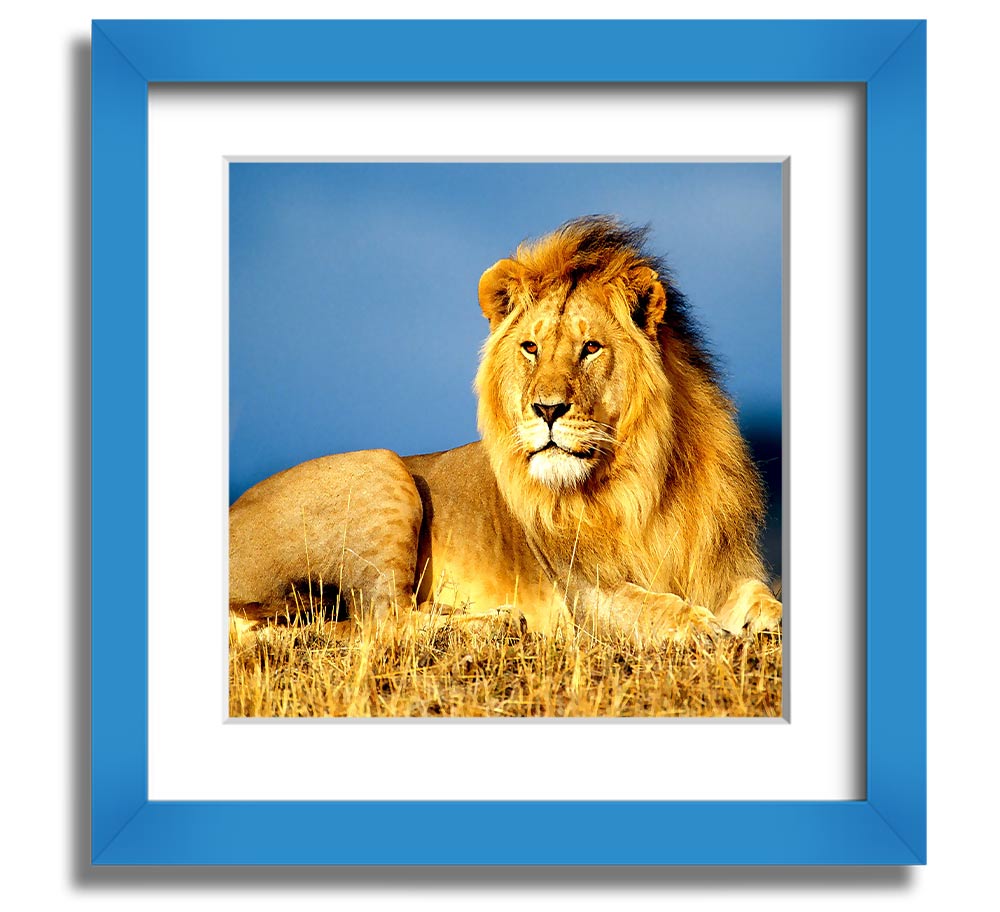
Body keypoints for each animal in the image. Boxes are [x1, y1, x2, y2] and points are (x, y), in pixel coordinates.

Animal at [229, 216, 782, 644]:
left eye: (591, 347)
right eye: (531, 347)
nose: (547, 409)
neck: (644, 480)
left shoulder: (723, 568)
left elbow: (764, 598)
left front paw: (757, 622)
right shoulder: (586, 593)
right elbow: (654, 607)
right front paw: (703, 628)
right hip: (379, 467)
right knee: (381, 622)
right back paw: (498, 622)